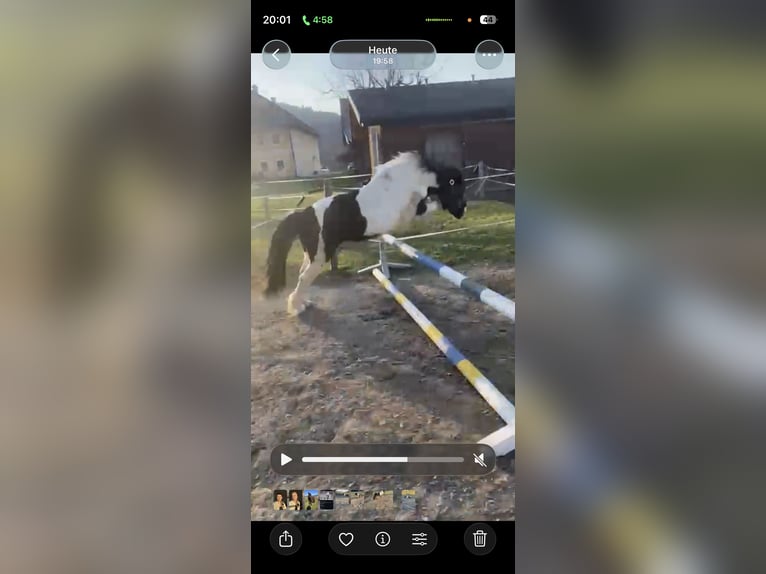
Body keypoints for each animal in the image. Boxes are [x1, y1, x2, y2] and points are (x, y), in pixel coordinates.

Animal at [263, 151, 467, 315]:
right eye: (456, 187)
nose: (462, 211)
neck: (407, 180)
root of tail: (304, 214)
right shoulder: (411, 210)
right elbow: (431, 206)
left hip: (311, 254)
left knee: (302, 275)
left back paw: (303, 303)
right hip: (320, 256)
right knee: (304, 277)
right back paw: (297, 308)